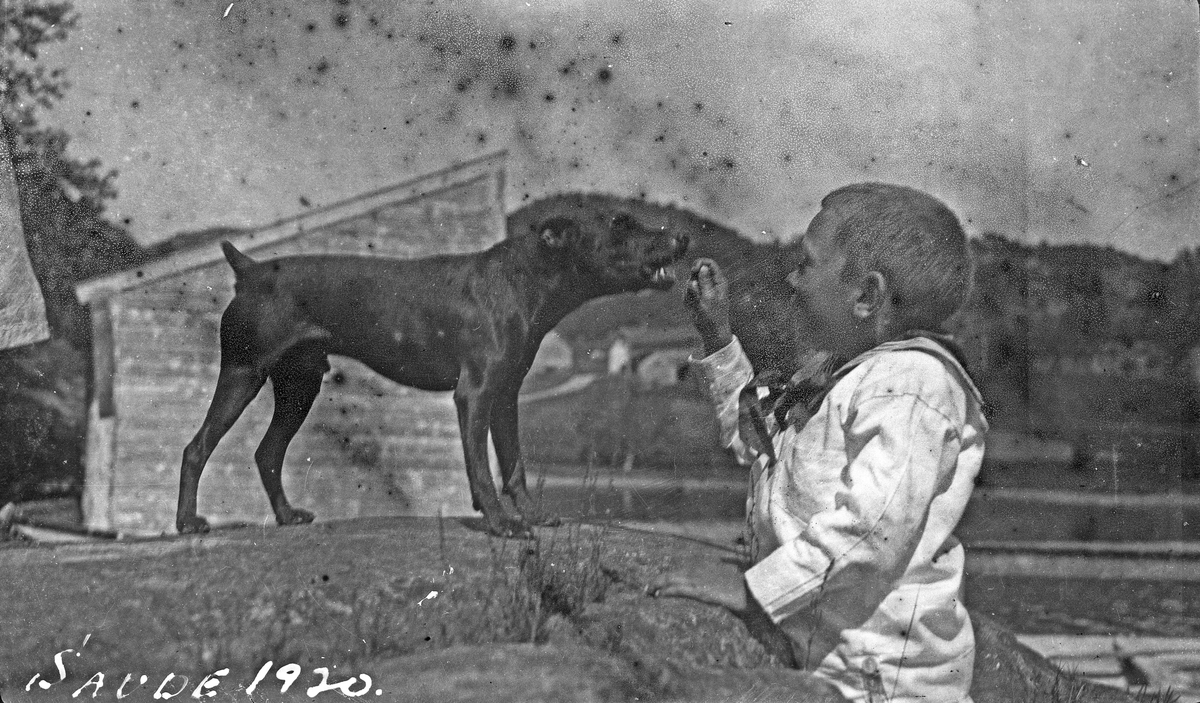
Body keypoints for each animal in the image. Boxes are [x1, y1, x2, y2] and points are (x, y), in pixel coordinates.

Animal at [174, 205, 691, 532]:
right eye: (621, 223)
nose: (683, 237)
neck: (522, 280)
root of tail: (250, 271)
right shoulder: (475, 394)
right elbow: (481, 468)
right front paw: (501, 524)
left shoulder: (504, 396)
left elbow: (515, 466)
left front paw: (532, 516)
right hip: (244, 374)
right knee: (196, 448)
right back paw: (187, 523)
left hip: (299, 386)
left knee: (267, 453)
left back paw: (286, 516)